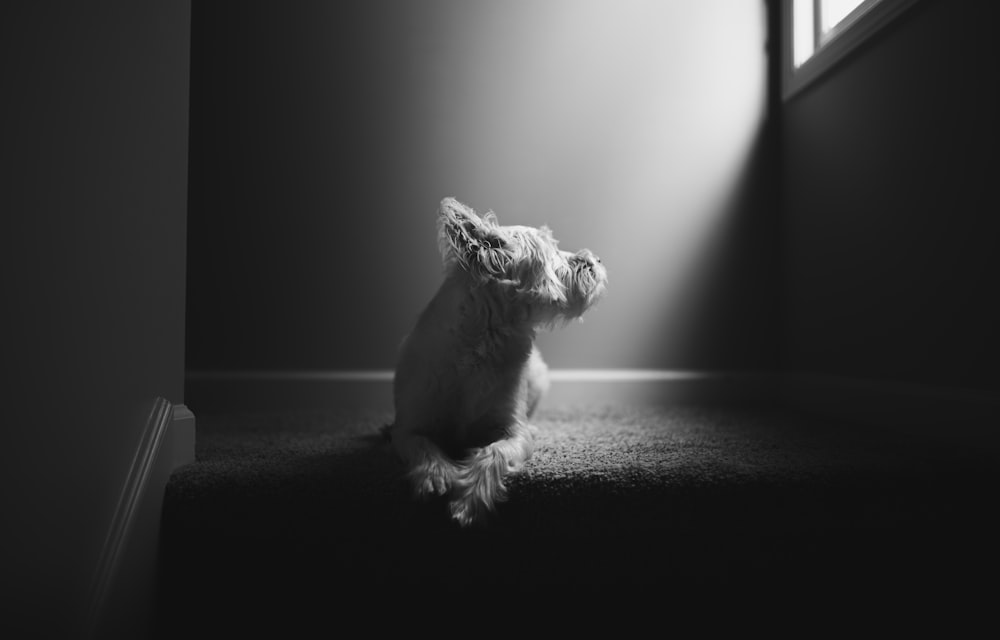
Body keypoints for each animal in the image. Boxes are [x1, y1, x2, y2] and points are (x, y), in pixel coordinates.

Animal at [382, 199, 604, 524]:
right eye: (551, 250)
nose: (596, 259)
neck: (484, 341)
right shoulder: (410, 427)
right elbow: (422, 446)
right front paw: (435, 476)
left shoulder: (511, 430)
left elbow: (493, 453)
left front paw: (468, 502)